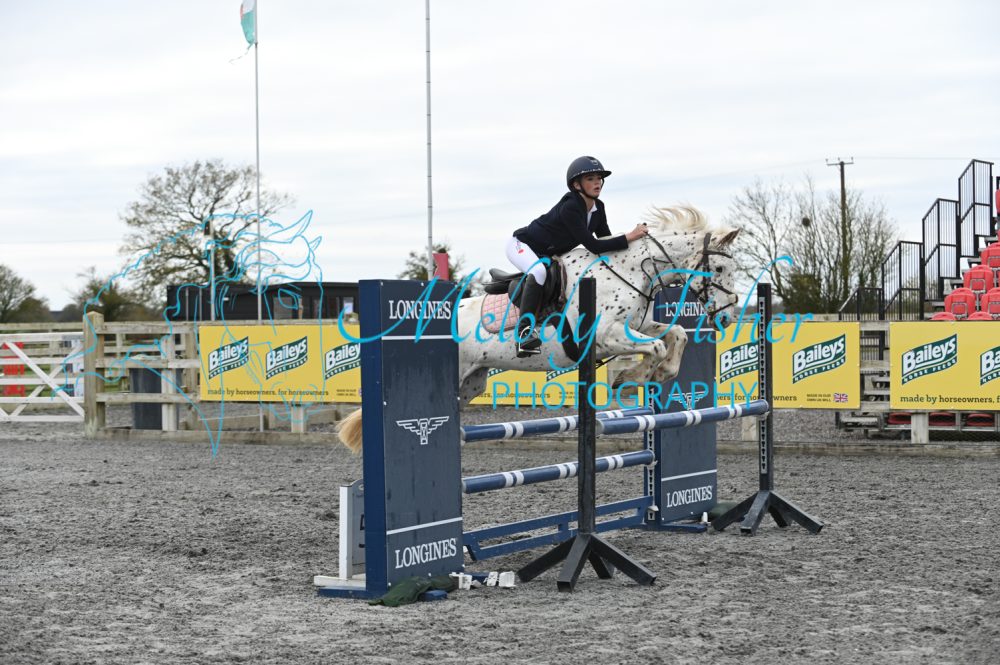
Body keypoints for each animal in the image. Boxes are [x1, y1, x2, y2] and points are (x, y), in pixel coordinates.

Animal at [336, 205, 740, 453]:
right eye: (720, 269)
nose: (728, 318)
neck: (628, 271)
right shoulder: (608, 336)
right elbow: (654, 348)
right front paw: (630, 379)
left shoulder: (635, 327)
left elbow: (675, 336)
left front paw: (656, 374)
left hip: (470, 384)